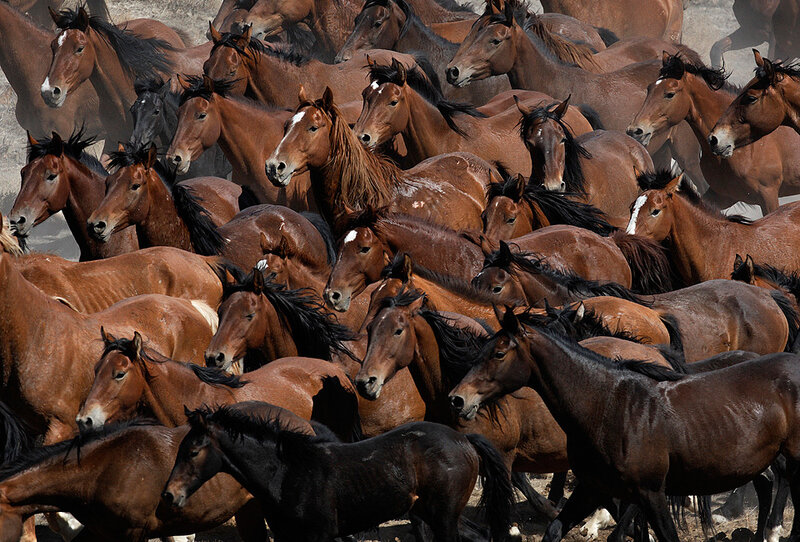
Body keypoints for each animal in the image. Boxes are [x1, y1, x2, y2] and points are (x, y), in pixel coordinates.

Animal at [164, 409, 514, 542]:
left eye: (192, 452)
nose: (169, 494)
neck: (287, 473)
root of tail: (464, 439)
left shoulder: (319, 535)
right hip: (438, 513)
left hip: (442, 516)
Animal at [449, 307, 800, 542]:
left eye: (498, 354)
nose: (457, 399)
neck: (607, 404)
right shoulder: (593, 487)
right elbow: (556, 529)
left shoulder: (651, 492)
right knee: (770, 483)